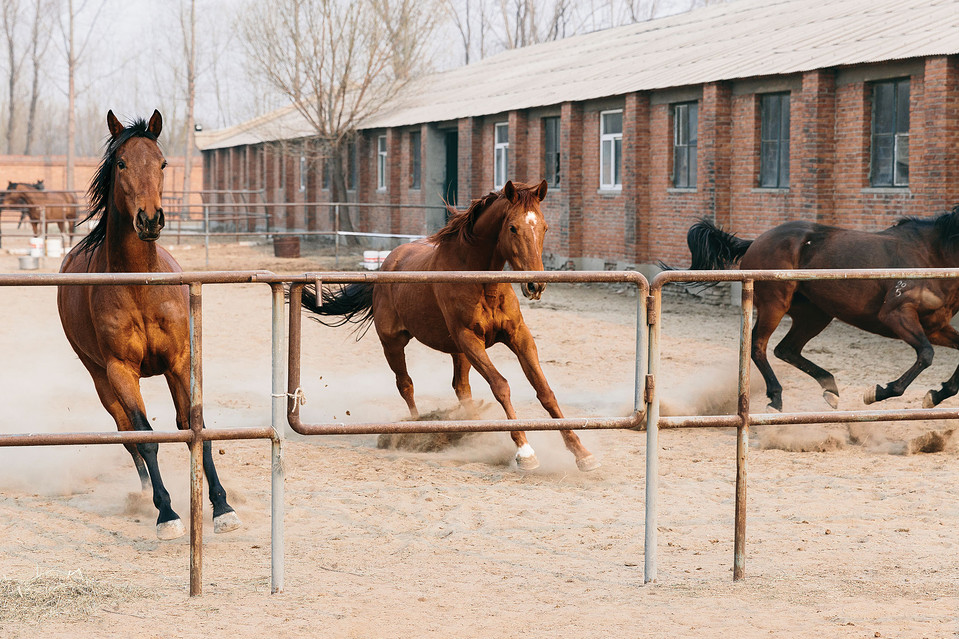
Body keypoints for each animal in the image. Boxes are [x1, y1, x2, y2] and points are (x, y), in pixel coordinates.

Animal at [57, 110, 240, 540]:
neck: (140, 286)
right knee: (128, 433)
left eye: (162, 163)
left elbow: (196, 428)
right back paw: (144, 496)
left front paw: (222, 507)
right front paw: (167, 514)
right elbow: (146, 439)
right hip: (100, 378)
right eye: (122, 163)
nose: (150, 218)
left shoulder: (181, 362)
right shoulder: (121, 372)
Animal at [302, 179, 600, 470]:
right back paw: (417, 430)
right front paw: (525, 451)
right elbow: (501, 386)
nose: (535, 285)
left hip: (458, 353)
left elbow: (544, 389)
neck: (482, 283)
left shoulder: (517, 336)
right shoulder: (469, 339)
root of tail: (387, 264)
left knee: (461, 388)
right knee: (406, 385)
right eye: (513, 228)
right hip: (393, 343)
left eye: (545, 227)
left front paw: (582, 452)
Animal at [688, 208, 959, 412]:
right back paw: (776, 398)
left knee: (786, 349)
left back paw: (830, 390)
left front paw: (937, 394)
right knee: (758, 346)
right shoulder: (896, 315)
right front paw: (879, 392)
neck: (932, 255)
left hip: (815, 314)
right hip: (775, 304)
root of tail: (756, 241)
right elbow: (926, 354)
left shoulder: (935, 327)